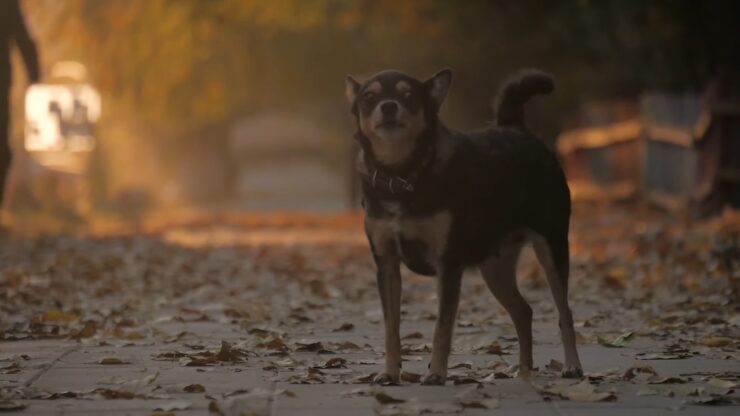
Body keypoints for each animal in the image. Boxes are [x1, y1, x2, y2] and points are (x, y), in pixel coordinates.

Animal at [346, 67, 584, 384]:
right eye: (369, 98)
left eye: (408, 95)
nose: (388, 106)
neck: (403, 174)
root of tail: (516, 128)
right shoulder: (387, 264)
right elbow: (391, 328)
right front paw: (390, 373)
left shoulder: (448, 264)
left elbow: (442, 328)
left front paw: (436, 373)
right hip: (495, 268)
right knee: (524, 312)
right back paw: (523, 371)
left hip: (552, 248)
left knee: (564, 313)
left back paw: (572, 366)